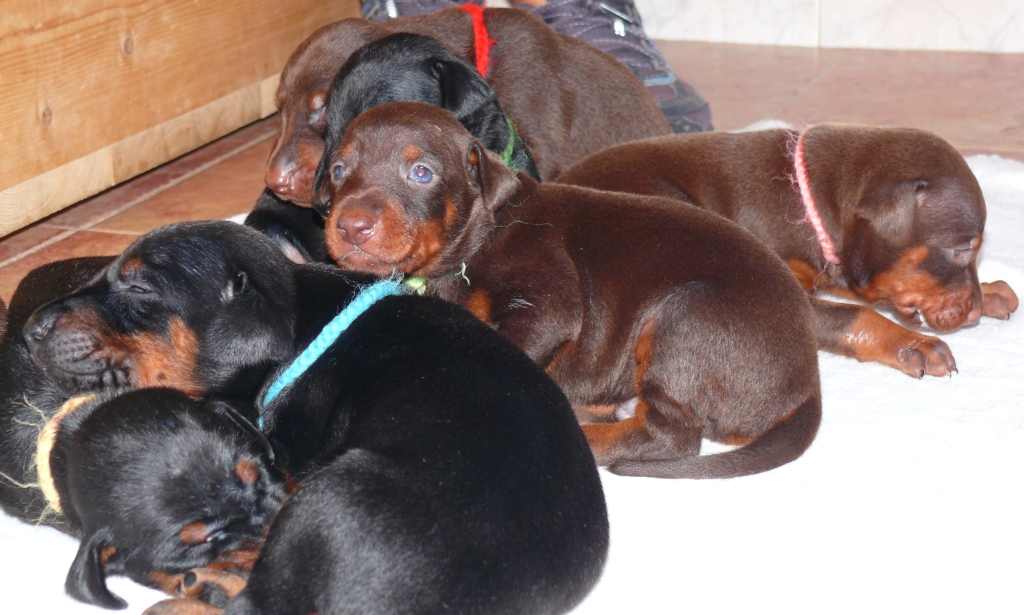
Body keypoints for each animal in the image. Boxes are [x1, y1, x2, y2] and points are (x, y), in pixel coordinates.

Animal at [311, 101, 823, 478]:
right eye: (338, 170)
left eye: (422, 172)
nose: (351, 225)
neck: (479, 236)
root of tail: (809, 381)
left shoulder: (550, 304)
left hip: (687, 317)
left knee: (669, 437)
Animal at [552, 124, 1015, 376]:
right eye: (961, 249)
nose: (973, 311)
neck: (809, 201)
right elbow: (858, 313)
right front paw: (914, 344)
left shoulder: (829, 263)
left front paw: (992, 291)